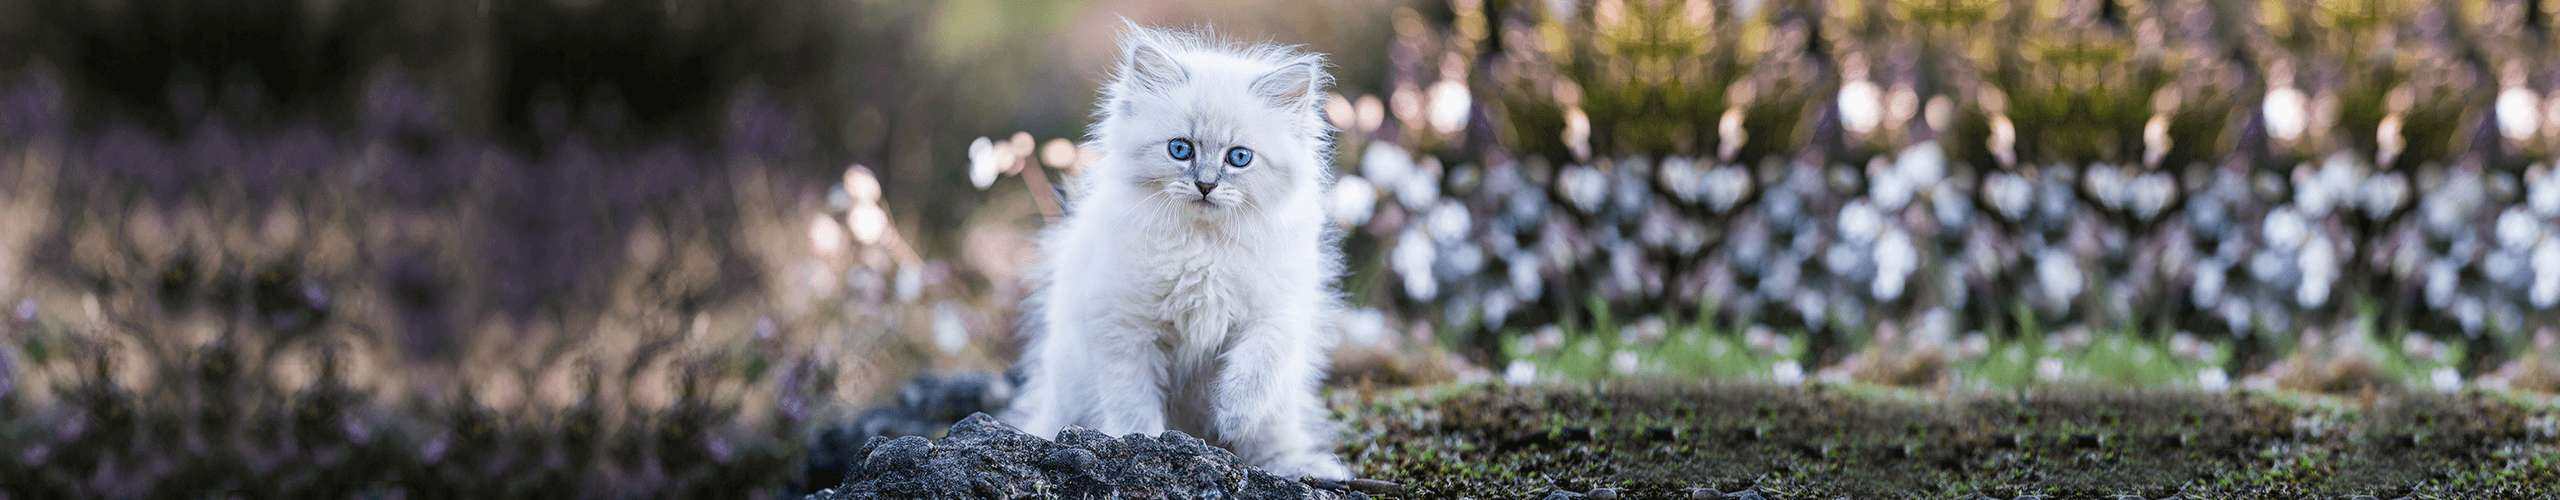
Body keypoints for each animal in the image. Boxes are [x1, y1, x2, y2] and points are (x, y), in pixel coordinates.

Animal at [1003, 24, 1361, 479]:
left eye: (1238, 157)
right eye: (1180, 149)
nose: (1205, 184)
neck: (1204, 248)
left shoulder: (1278, 312)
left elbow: (1257, 368)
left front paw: (1232, 414)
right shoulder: (1124, 327)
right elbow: (1132, 404)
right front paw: (1144, 446)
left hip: (1283, 404)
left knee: (1274, 439)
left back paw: (1303, 468)